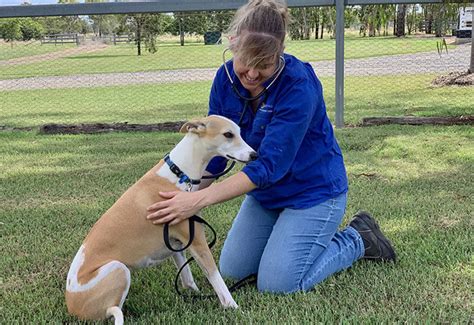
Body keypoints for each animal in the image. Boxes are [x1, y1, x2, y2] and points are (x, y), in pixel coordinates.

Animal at [65, 115, 258, 322]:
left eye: (239, 132)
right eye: (228, 134)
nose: (254, 155)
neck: (180, 174)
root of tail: (72, 306)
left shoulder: (177, 242)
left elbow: (188, 278)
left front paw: (195, 294)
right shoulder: (197, 241)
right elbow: (217, 280)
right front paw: (235, 308)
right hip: (118, 268)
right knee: (111, 311)